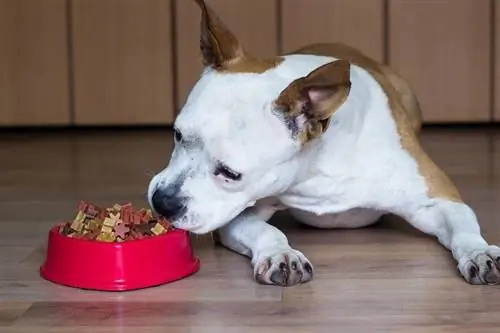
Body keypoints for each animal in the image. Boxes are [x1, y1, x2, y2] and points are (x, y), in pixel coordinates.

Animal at [147, 0, 500, 286]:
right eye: (177, 134)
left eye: (230, 174)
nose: (163, 202)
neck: (315, 168)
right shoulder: (236, 214)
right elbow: (265, 230)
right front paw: (280, 254)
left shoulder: (438, 199)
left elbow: (463, 227)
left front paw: (480, 252)